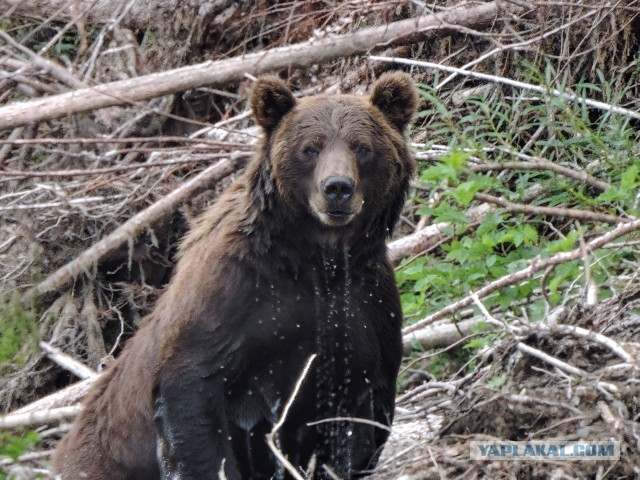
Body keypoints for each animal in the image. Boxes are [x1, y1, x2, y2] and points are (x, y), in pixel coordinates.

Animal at [53, 72, 418, 480]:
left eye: (362, 147)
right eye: (310, 148)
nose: (337, 188)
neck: (316, 256)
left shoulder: (365, 303)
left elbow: (359, 416)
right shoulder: (231, 292)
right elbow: (191, 390)